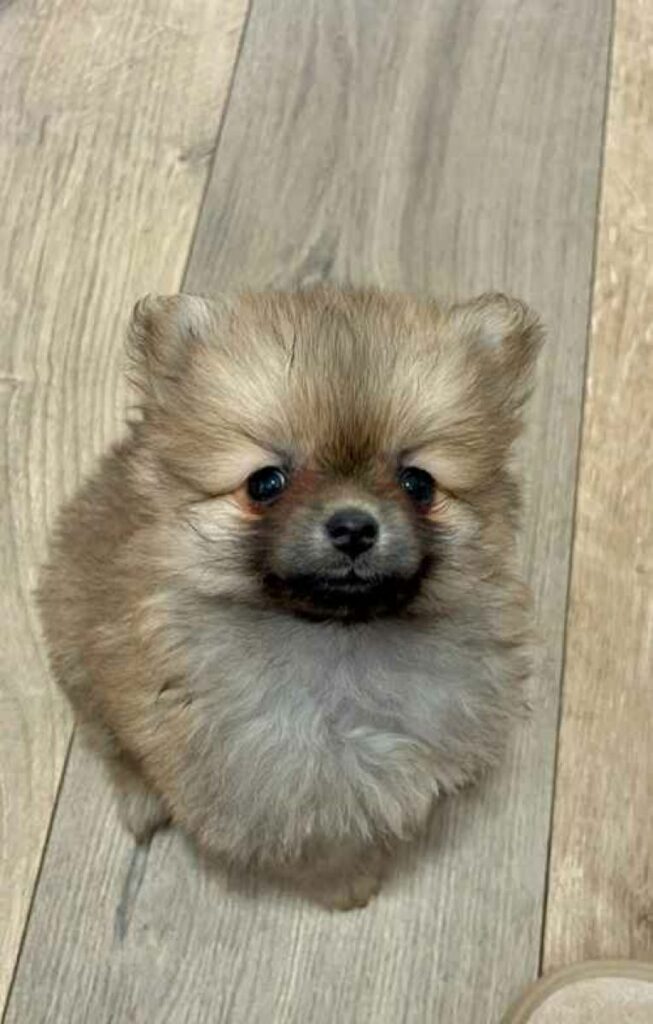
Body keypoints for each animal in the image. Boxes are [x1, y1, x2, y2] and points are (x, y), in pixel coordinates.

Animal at [38, 286, 541, 909]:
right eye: (265, 483)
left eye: (418, 483)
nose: (353, 527)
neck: (339, 647)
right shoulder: (273, 780)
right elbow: (321, 846)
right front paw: (349, 886)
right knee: (109, 738)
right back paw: (142, 800)